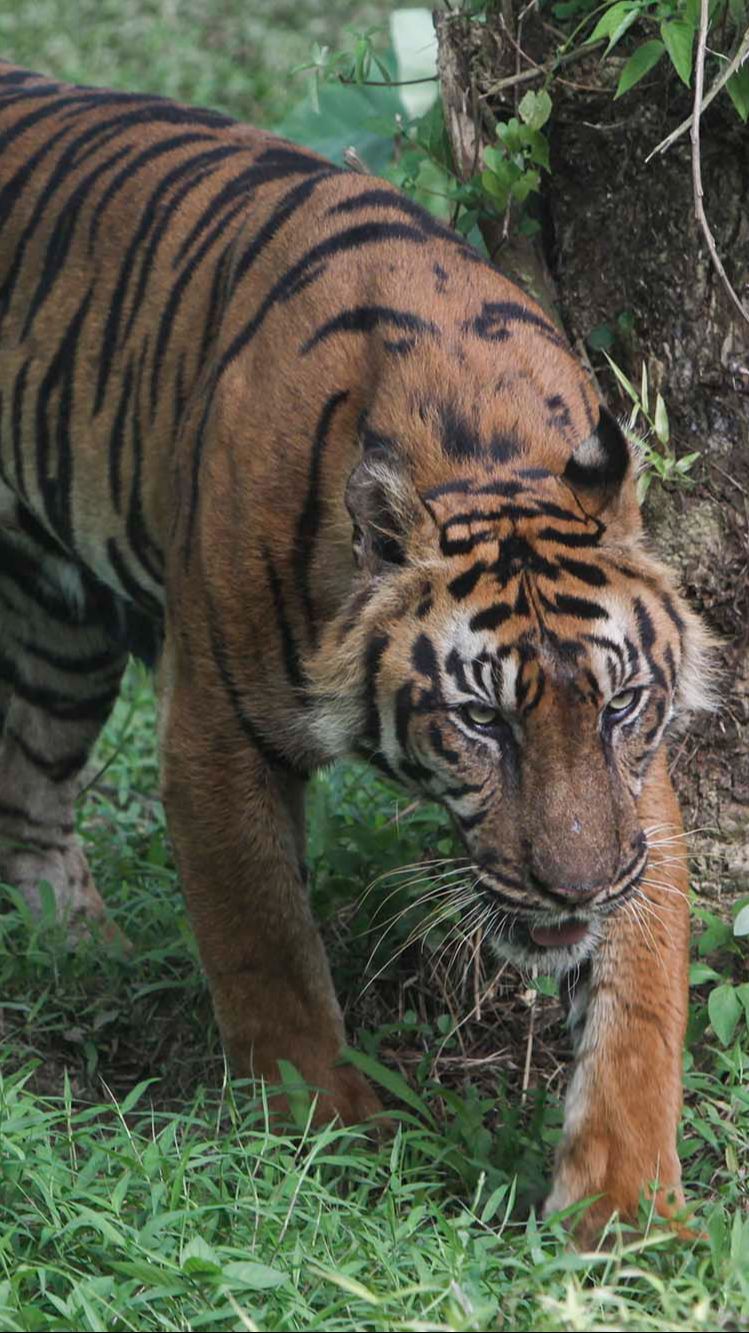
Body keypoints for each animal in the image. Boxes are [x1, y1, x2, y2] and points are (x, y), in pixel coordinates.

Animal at [0, 57, 709, 1242]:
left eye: (615, 707)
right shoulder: (217, 731)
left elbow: (640, 996)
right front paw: (326, 1136)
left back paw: (78, 955)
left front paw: (628, 1209)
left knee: (28, 790)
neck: (480, 441)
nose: (571, 888)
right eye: (481, 721)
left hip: (59, 631)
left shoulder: (635, 787)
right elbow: (268, 953)